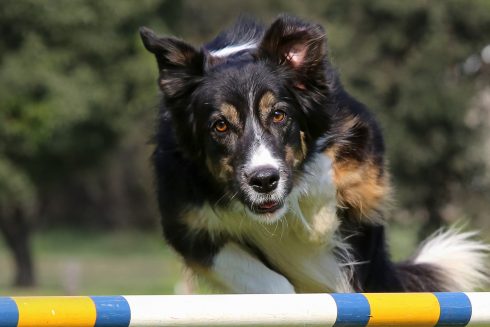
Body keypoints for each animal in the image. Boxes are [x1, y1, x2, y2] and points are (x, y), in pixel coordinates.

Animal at [140, 14, 488, 294]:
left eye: (279, 115)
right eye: (220, 126)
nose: (264, 181)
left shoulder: (365, 157)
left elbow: (326, 175)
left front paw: (316, 221)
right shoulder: (187, 224)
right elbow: (271, 283)